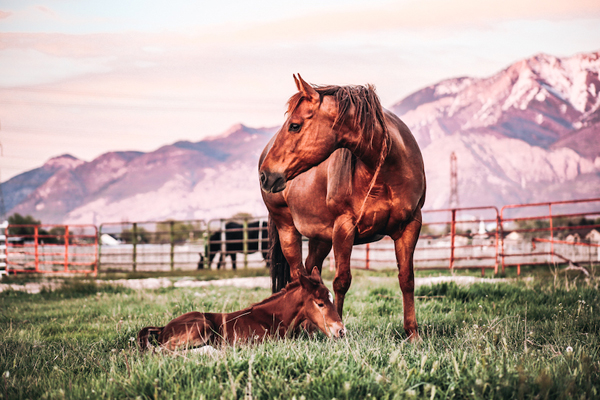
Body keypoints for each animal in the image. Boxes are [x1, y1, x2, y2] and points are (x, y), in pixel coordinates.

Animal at [136, 268, 342, 352]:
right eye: (320, 303)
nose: (341, 331)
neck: (275, 318)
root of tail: (163, 328)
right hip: (201, 326)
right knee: (161, 351)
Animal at [260, 74, 424, 340]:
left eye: (294, 125)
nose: (266, 175)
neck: (387, 169)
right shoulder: (344, 228)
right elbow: (342, 281)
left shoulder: (411, 225)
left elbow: (407, 279)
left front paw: (413, 334)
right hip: (288, 230)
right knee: (297, 274)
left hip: (321, 238)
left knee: (309, 270)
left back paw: (309, 327)